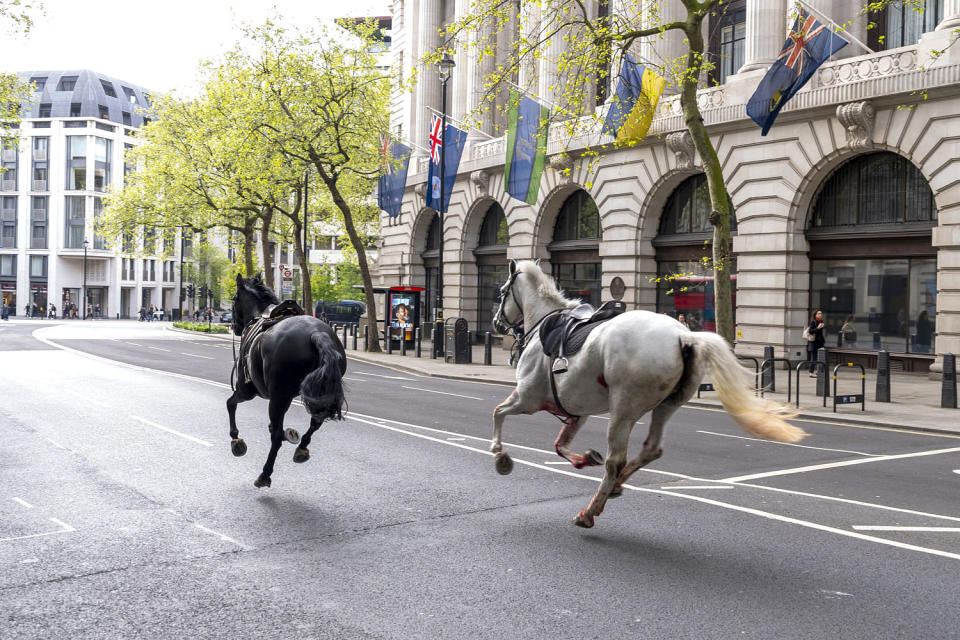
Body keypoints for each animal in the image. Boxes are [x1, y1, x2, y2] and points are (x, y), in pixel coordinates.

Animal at [227, 272, 346, 488]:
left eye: (234, 298)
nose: (236, 327)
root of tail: (316, 334)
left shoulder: (246, 390)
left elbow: (230, 404)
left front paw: (236, 440)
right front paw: (289, 434)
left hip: (276, 397)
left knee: (275, 439)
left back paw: (265, 474)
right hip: (317, 393)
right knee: (316, 421)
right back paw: (301, 448)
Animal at [492, 260, 808, 528]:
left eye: (501, 293)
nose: (496, 324)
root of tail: (685, 335)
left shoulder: (527, 398)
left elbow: (498, 413)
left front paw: (500, 455)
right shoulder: (576, 410)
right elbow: (559, 444)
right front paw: (583, 459)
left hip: (623, 409)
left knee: (616, 460)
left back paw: (591, 510)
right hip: (666, 404)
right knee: (651, 449)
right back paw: (616, 485)